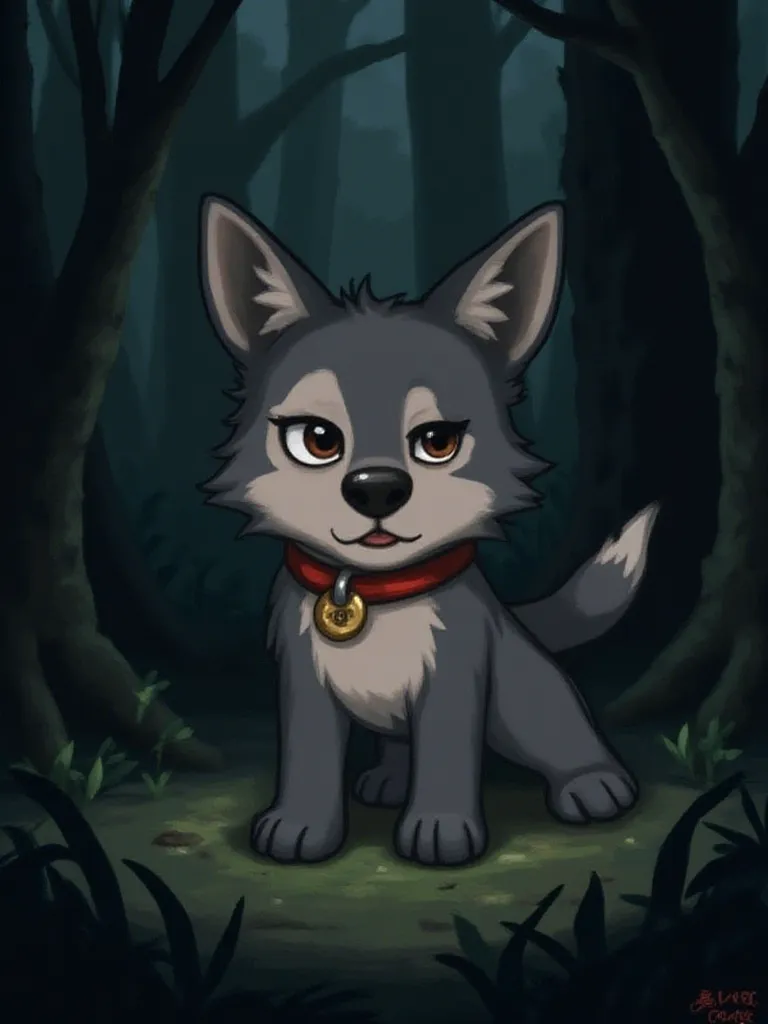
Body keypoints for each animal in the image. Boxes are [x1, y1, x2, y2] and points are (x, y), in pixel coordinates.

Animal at [199, 194, 658, 868]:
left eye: (437, 441)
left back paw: (595, 782)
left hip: (520, 700)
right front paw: (300, 825)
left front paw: (441, 829)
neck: (371, 593)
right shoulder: (302, 682)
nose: (376, 488)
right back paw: (389, 781)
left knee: (561, 727)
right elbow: (309, 754)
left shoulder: (455, 678)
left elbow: (445, 751)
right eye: (316, 440)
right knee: (399, 745)